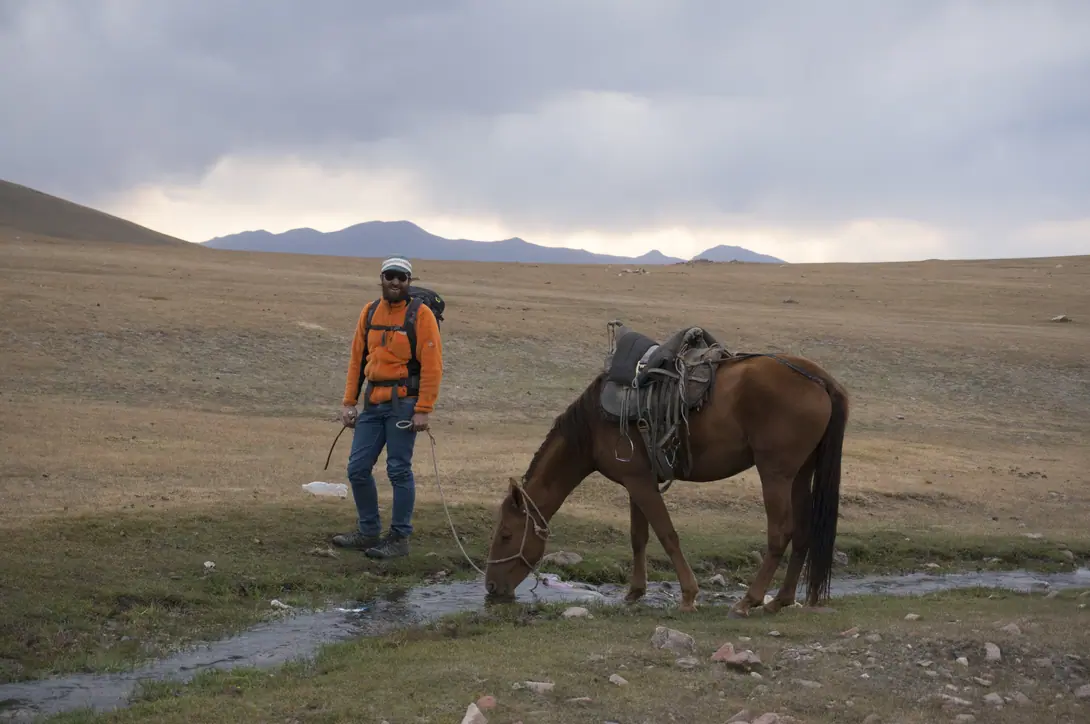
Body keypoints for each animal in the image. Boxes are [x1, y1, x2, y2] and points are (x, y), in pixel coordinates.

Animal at [482, 330, 849, 618]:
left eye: (506, 535)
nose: (491, 587)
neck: (592, 425)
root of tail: (821, 379)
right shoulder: (636, 482)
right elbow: (639, 537)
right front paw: (634, 593)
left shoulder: (641, 483)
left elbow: (667, 534)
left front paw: (688, 596)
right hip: (800, 473)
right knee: (802, 531)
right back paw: (781, 600)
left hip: (775, 473)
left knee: (780, 532)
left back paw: (749, 601)